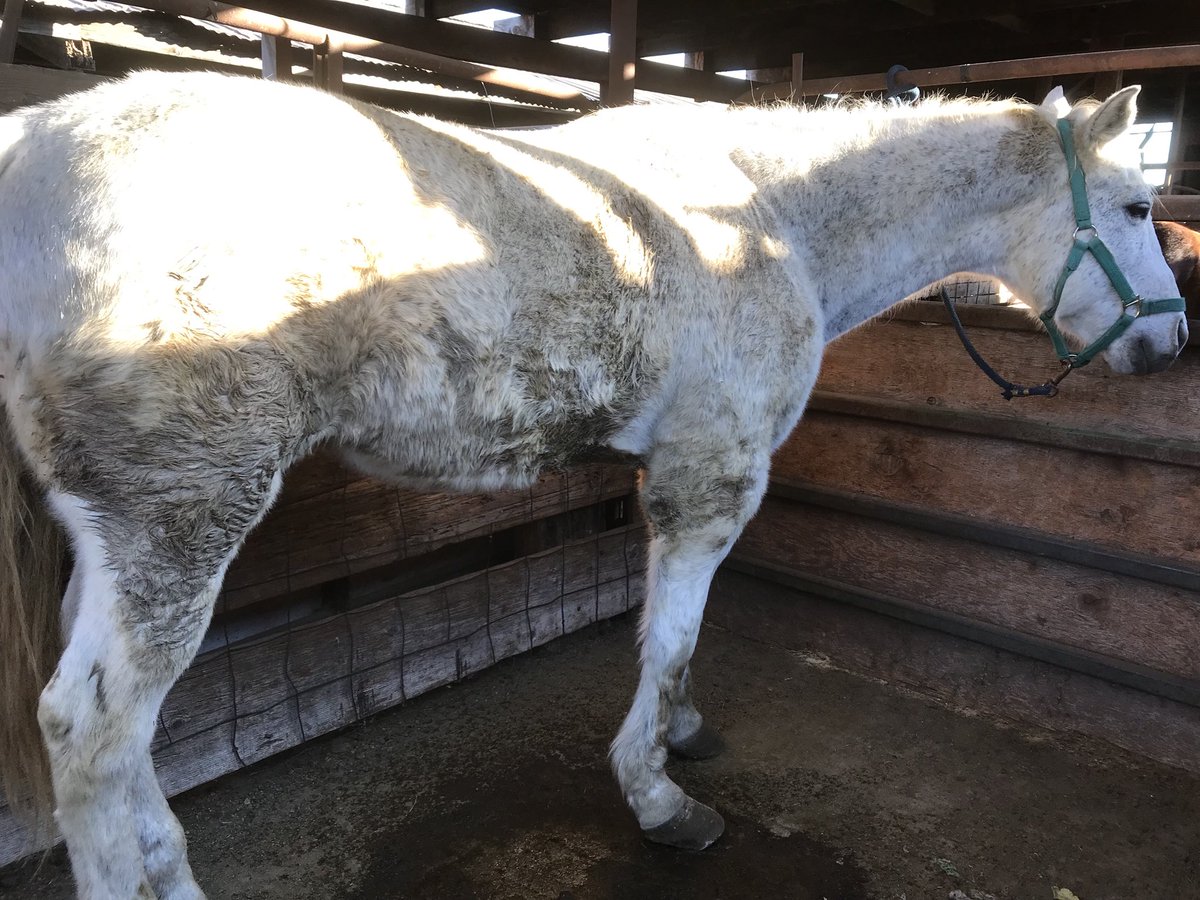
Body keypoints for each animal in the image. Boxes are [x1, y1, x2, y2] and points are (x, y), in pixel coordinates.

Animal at [0, 72, 1185, 899]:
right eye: (1135, 207)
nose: (1169, 344)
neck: (769, 221)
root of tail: (30, 157)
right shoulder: (713, 475)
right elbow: (673, 633)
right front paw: (660, 796)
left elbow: (673, 634)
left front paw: (684, 730)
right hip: (182, 522)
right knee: (92, 731)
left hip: (109, 536)